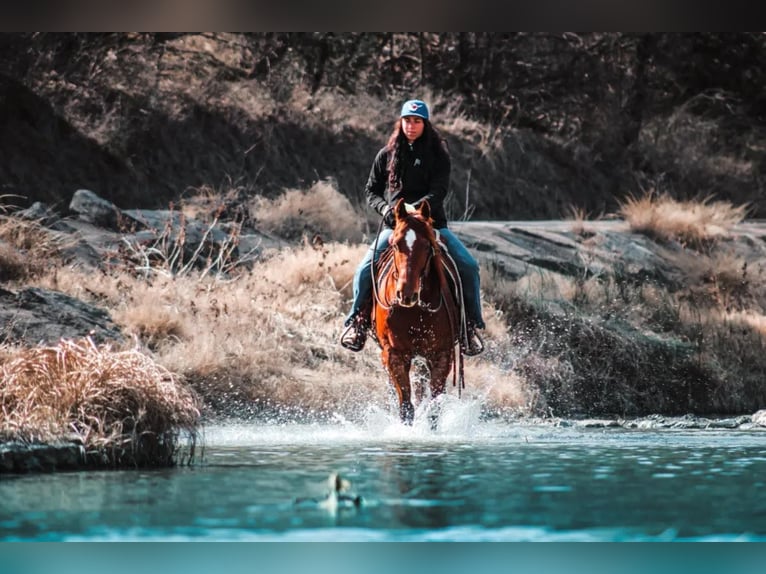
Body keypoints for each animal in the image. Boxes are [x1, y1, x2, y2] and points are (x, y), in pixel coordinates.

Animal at [370, 200, 464, 426]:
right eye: (396, 244)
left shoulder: (441, 354)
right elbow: (406, 406)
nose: (406, 293)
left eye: (427, 246)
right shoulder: (394, 354)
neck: (415, 310)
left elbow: (434, 407)